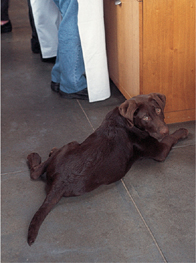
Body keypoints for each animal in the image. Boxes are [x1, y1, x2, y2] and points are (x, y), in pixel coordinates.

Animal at [26, 94, 188, 246]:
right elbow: (171, 139)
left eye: (159, 110)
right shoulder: (160, 151)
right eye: (146, 117)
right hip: (71, 143)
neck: (127, 122)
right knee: (37, 171)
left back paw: (42, 154)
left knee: (35, 173)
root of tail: (59, 182)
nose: (165, 130)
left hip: (66, 149)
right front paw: (182, 130)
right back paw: (40, 154)